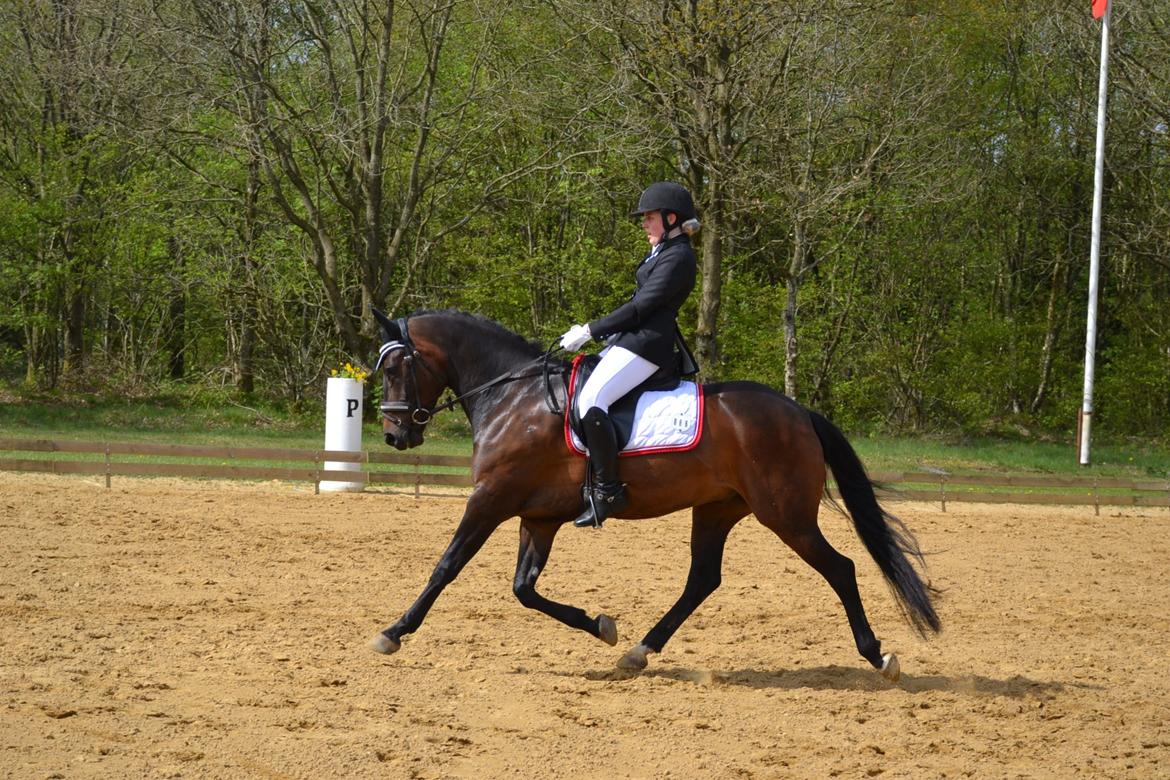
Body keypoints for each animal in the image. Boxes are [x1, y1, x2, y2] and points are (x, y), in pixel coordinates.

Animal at [368, 308, 939, 681]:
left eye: (395, 368)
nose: (395, 436)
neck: (514, 397)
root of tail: (798, 412)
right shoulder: (538, 517)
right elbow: (524, 589)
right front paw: (602, 626)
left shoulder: (490, 500)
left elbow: (446, 567)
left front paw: (393, 632)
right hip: (717, 509)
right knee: (703, 579)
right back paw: (638, 651)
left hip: (785, 515)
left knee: (840, 568)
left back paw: (878, 656)